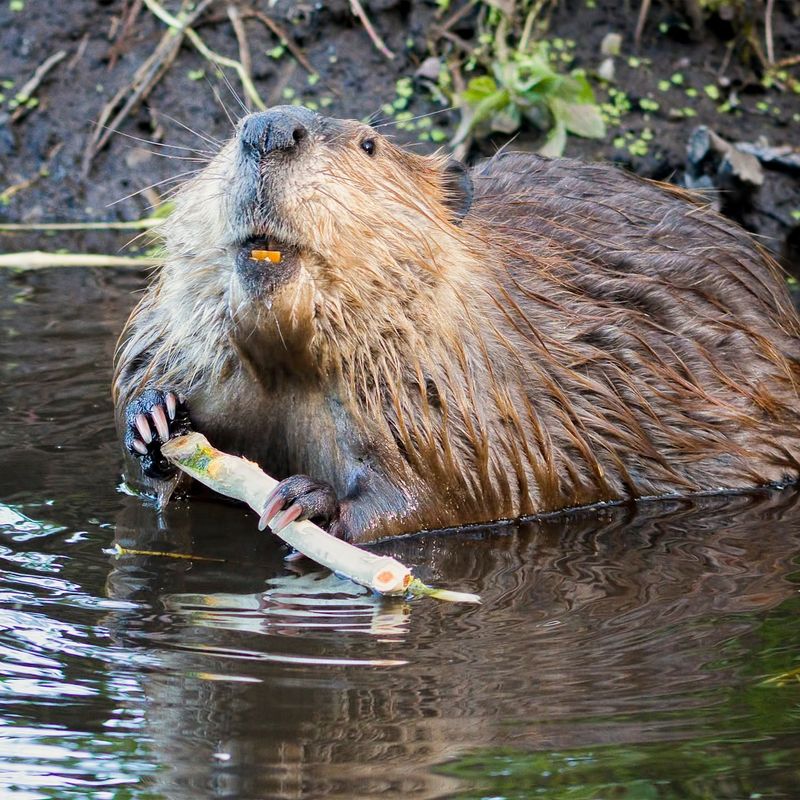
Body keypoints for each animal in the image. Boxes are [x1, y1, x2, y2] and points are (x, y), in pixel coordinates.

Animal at [111, 104, 800, 544]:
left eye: (368, 144)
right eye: (233, 132)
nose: (269, 128)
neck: (290, 363)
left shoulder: (459, 399)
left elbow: (450, 492)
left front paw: (309, 501)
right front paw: (155, 421)